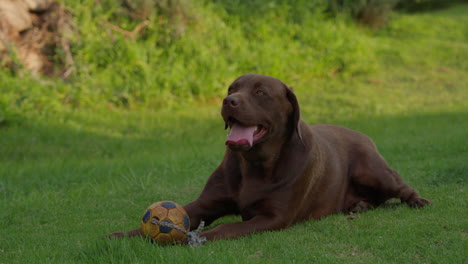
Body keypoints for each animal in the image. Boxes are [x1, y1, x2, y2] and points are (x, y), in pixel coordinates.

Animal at [109, 74, 428, 241]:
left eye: (261, 92)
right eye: (231, 89)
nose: (228, 101)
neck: (255, 165)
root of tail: (363, 134)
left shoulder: (273, 217)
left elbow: (227, 227)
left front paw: (199, 238)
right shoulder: (204, 204)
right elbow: (171, 216)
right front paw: (124, 234)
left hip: (373, 170)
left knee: (401, 188)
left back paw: (416, 200)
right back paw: (359, 206)